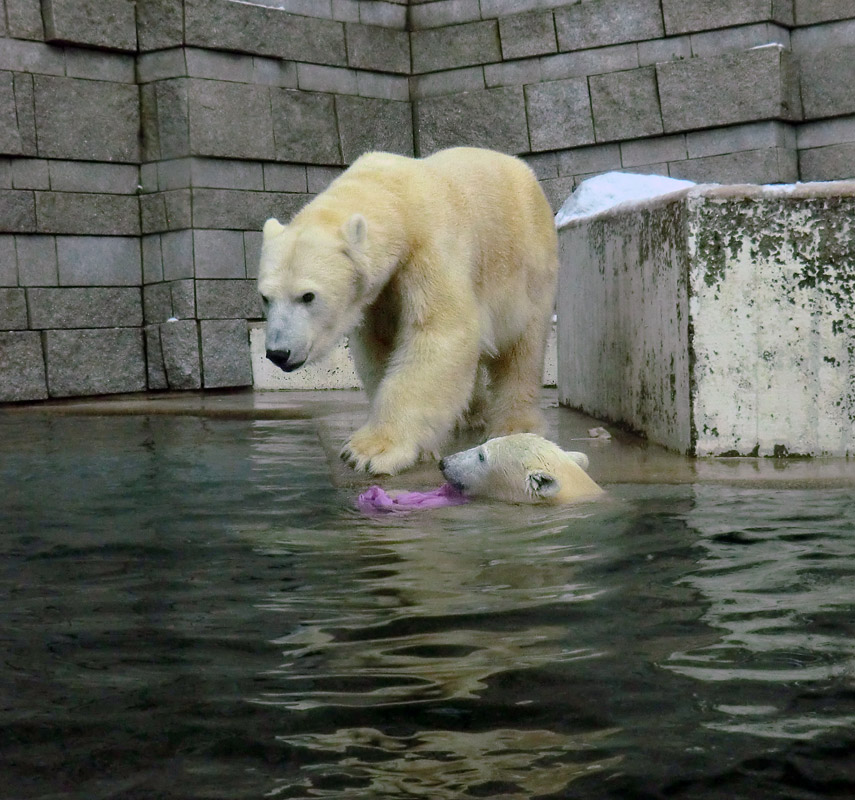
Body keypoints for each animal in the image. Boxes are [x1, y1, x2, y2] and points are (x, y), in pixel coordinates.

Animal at [258, 146, 560, 476]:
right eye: (265, 297)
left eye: (308, 296)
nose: (278, 353)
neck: (394, 198)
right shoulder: (379, 295)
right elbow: (380, 349)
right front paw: (419, 445)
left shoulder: (431, 250)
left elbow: (439, 335)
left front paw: (368, 451)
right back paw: (470, 415)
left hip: (526, 263)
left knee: (522, 348)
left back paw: (514, 424)